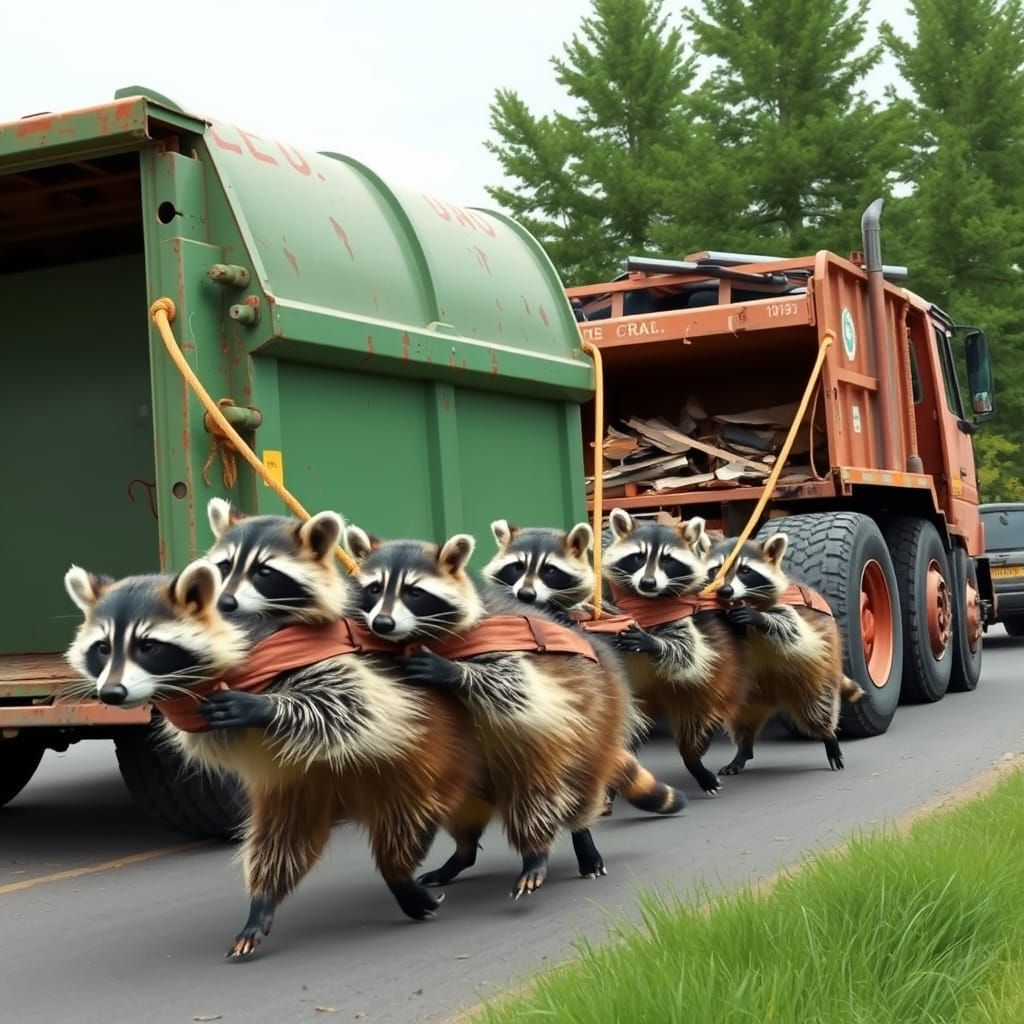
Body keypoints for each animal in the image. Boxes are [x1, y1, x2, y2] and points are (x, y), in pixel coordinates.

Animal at [345, 526, 683, 899]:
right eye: (374, 589)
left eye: (414, 592)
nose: (383, 623)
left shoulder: (506, 641)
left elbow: (520, 685)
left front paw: (453, 672)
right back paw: (461, 856)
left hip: (589, 730)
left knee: (556, 794)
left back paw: (549, 850)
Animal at [602, 508, 749, 795]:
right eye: (638, 557)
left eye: (667, 560)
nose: (648, 583)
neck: (646, 601)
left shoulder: (691, 616)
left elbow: (689, 651)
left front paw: (653, 642)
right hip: (633, 702)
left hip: (697, 695)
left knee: (694, 730)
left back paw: (695, 762)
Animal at [706, 533, 866, 775]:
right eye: (716, 569)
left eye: (745, 571)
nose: (725, 591)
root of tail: (776, 693)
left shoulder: (791, 609)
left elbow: (792, 629)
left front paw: (760, 618)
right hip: (748, 692)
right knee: (742, 719)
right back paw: (743, 749)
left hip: (816, 673)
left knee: (818, 707)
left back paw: (828, 736)